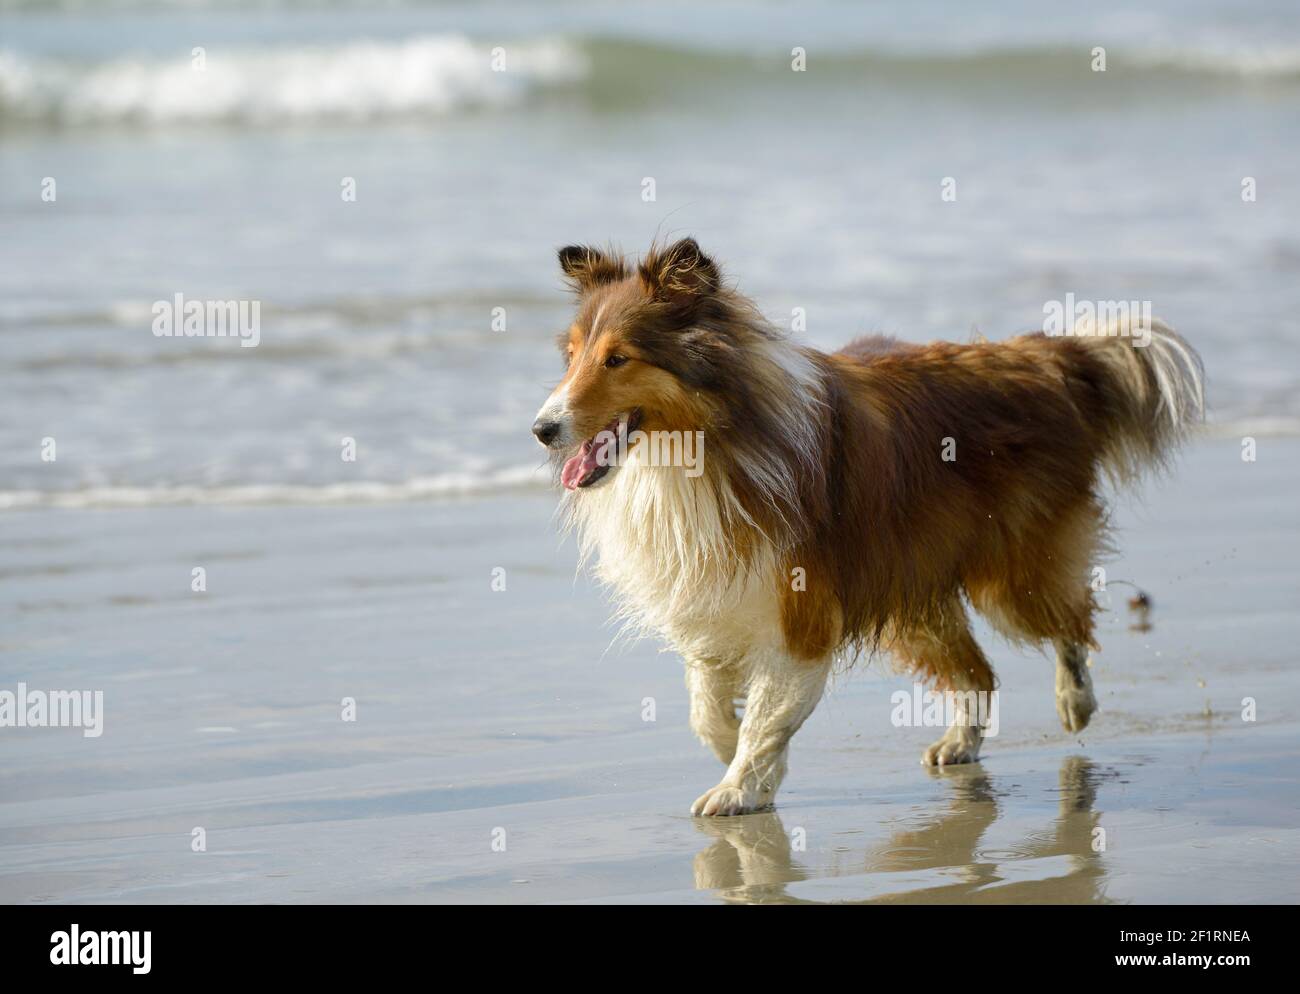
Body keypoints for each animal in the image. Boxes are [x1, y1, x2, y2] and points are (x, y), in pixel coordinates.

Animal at [533, 239, 1201, 815]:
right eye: (572, 356)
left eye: (618, 358)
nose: (541, 429)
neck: (703, 448)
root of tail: (1042, 358)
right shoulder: (713, 601)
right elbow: (710, 709)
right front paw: (740, 762)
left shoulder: (800, 614)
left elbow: (767, 715)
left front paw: (739, 787)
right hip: (913, 591)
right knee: (980, 672)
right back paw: (960, 744)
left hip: (1012, 576)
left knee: (1069, 626)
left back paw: (1075, 702)